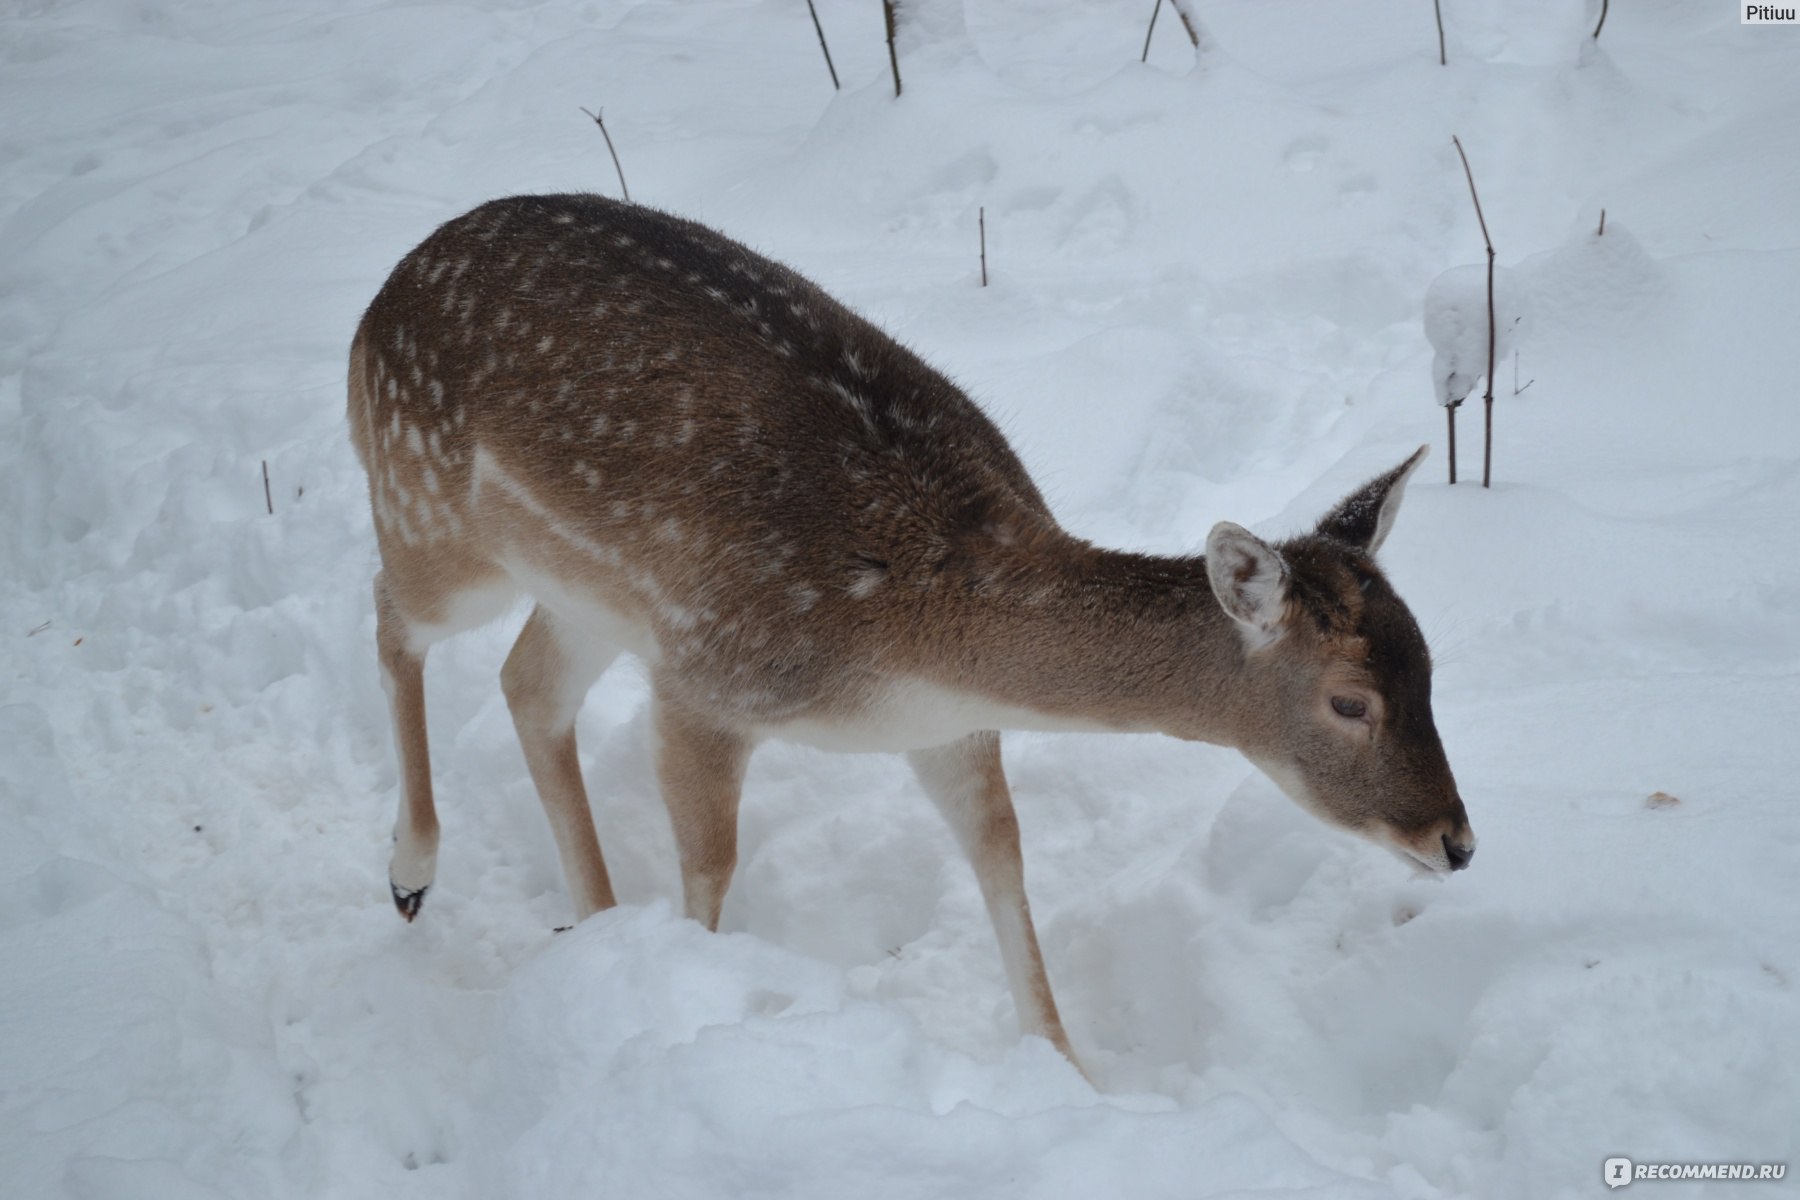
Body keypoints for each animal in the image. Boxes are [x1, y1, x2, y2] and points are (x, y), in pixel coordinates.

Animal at [343, 195, 1468, 1072]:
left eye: (1432, 668)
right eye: (1350, 701)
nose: (1455, 842)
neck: (920, 643)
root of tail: (374, 307)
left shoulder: (948, 729)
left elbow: (1002, 857)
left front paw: (1073, 1073)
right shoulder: (706, 677)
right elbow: (710, 867)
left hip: (586, 598)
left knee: (527, 685)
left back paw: (590, 918)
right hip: (429, 510)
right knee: (393, 615)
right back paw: (410, 873)